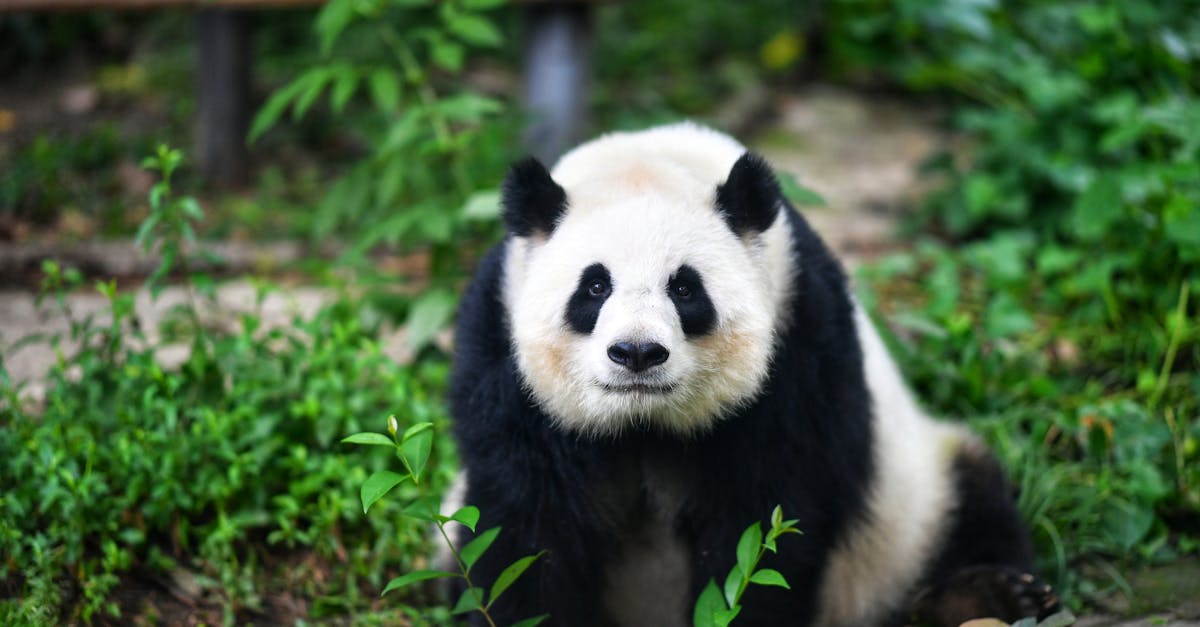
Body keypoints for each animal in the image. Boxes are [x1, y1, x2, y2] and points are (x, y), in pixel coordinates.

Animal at [446, 122, 1059, 627]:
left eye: (685, 288)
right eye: (594, 286)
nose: (638, 353)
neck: (644, 423)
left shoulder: (799, 345)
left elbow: (764, 521)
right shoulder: (500, 356)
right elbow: (526, 526)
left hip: (911, 508)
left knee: (974, 504)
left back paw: (990, 595)